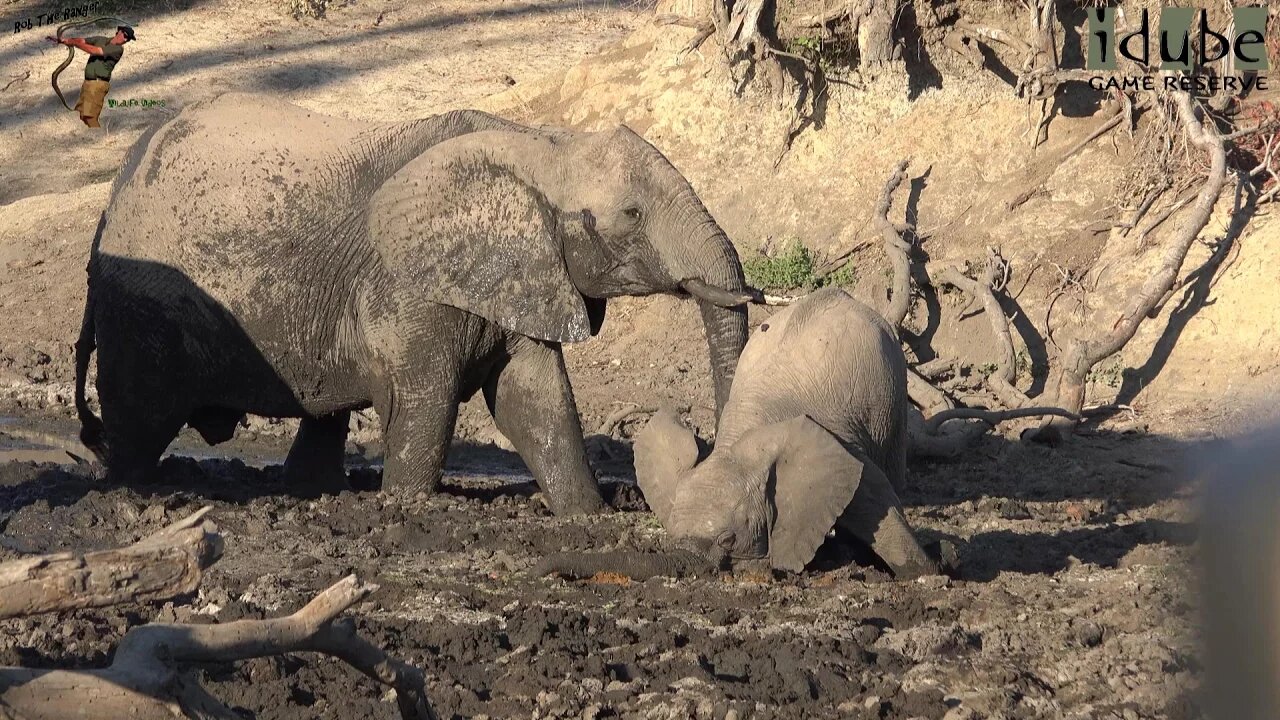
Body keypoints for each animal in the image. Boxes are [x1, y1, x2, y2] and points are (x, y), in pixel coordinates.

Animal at [74, 92, 752, 512]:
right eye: (632, 216)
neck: (538, 147)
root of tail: (118, 184)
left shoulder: (517, 274)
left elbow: (535, 399)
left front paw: (590, 515)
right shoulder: (408, 286)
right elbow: (428, 398)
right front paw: (405, 508)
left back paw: (316, 491)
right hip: (141, 306)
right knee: (141, 415)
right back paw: (134, 492)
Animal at [537, 285, 942, 576]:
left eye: (729, 540)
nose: (545, 570)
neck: (744, 437)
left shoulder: (840, 443)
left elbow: (876, 500)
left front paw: (930, 569)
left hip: (892, 392)